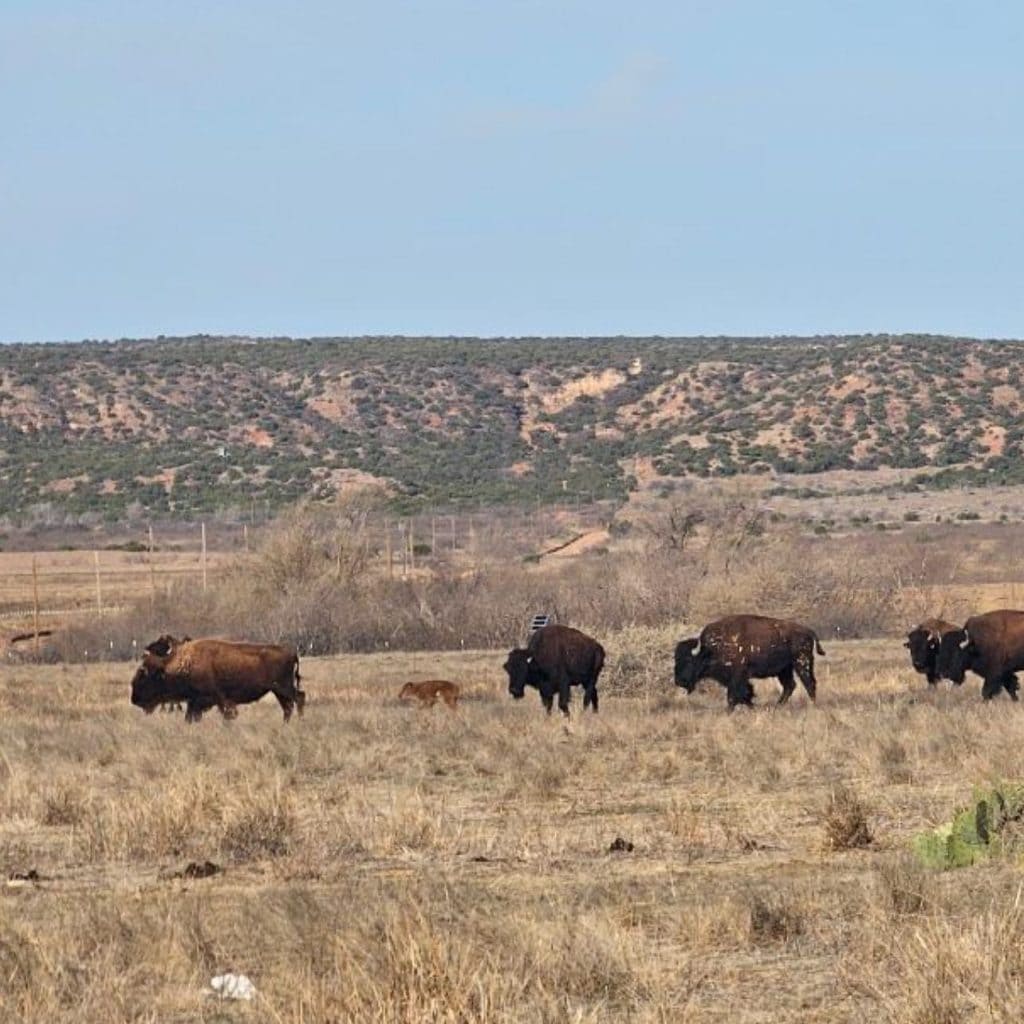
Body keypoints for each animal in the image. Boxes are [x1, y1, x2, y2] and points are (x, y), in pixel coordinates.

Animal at [131, 635, 306, 722]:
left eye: (144, 677)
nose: (134, 700)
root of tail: (292, 652)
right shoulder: (195, 702)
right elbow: (190, 718)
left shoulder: (220, 701)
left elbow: (227, 716)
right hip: (279, 690)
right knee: (289, 706)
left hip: (283, 687)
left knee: (298, 698)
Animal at [674, 614, 824, 711]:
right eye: (676, 659)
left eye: (688, 660)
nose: (679, 681)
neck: (711, 648)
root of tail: (808, 631)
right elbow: (744, 694)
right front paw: (752, 707)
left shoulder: (737, 675)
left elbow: (733, 696)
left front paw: (729, 712)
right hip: (784, 669)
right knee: (790, 685)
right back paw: (778, 707)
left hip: (802, 663)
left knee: (809, 684)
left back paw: (812, 706)